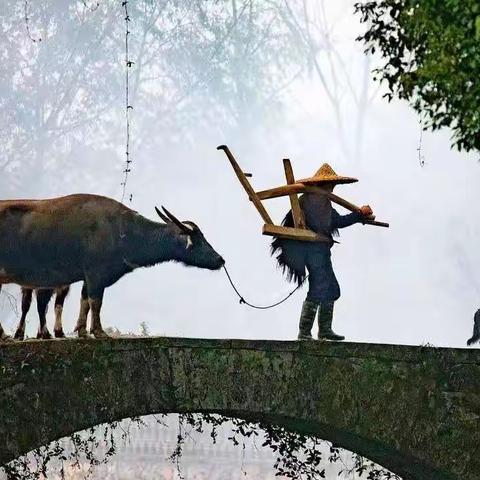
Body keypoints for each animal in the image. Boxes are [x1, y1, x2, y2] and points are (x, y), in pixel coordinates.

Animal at [0, 193, 225, 340]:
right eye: (200, 241)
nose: (220, 260)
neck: (123, 231)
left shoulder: (88, 277)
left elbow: (85, 301)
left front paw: (82, 331)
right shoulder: (96, 273)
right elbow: (96, 302)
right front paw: (99, 332)